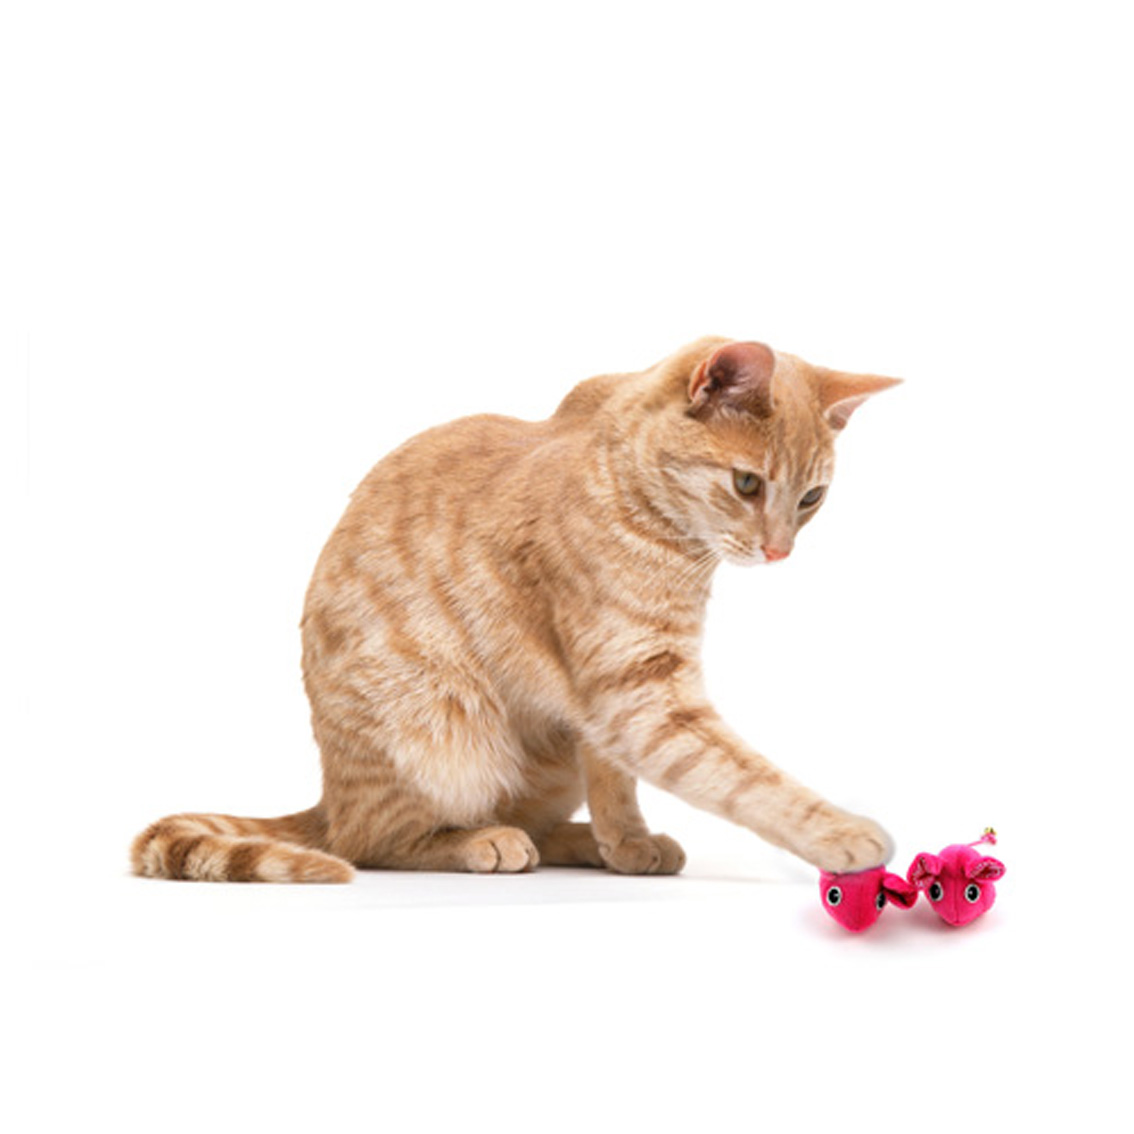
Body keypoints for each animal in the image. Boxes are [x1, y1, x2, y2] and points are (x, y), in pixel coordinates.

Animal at [132, 337, 901, 883]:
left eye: (811, 498)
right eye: (747, 484)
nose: (779, 552)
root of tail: (329, 796)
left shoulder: (608, 697)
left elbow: (615, 776)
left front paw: (625, 839)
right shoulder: (640, 693)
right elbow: (742, 776)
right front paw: (843, 833)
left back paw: (576, 839)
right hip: (440, 723)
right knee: (371, 841)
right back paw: (483, 842)